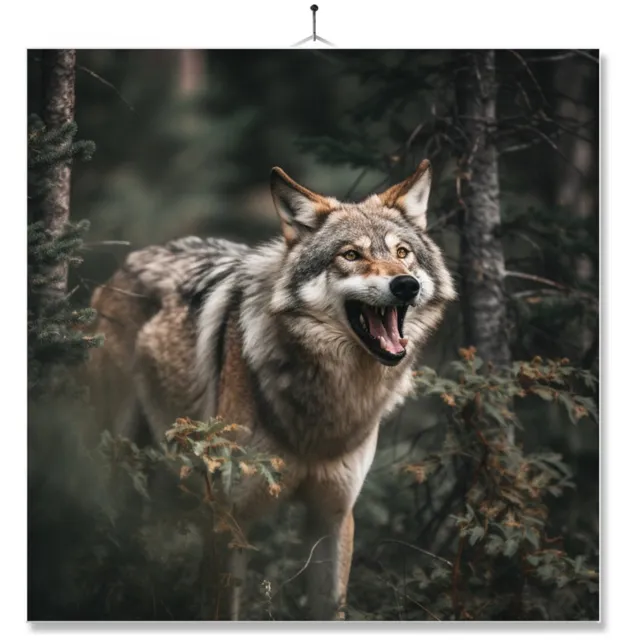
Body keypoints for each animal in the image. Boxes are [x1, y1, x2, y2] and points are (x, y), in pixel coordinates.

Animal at [88, 159, 456, 620]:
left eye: (402, 252)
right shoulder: (228, 518)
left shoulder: (333, 516)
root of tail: (131, 260)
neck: (325, 409)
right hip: (115, 462)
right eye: (351, 255)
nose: (406, 284)